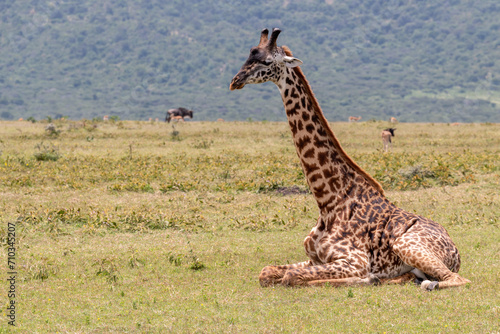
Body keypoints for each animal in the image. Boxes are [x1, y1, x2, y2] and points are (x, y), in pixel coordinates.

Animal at [229, 28, 470, 290]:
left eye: (266, 61)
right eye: (249, 54)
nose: (235, 81)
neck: (329, 202)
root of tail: (455, 250)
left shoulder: (354, 261)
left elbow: (291, 276)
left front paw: (363, 278)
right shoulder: (313, 259)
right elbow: (266, 272)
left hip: (407, 245)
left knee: (456, 279)